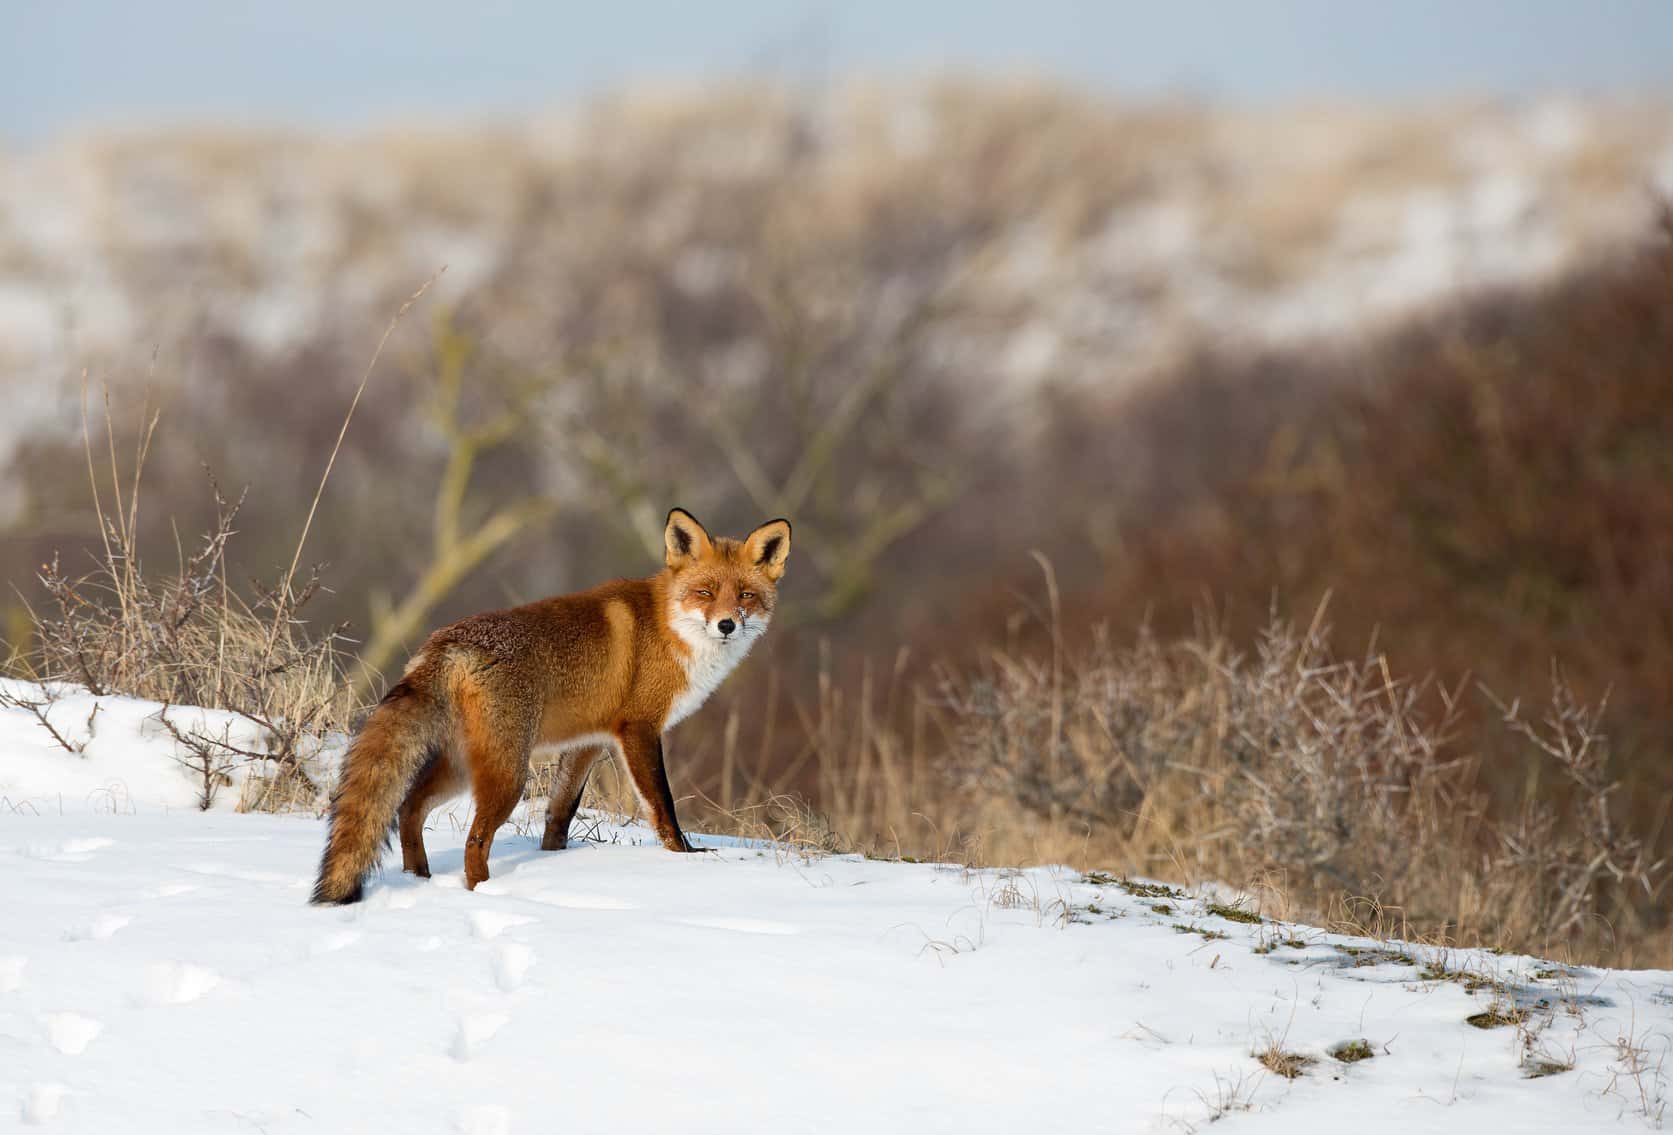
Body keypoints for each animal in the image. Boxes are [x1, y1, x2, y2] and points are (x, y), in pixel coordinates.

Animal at [314, 508, 789, 903]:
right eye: (705, 592)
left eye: (745, 596)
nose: (726, 625)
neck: (670, 629)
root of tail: (444, 644)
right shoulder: (639, 729)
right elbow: (663, 806)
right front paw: (685, 857)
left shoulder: (588, 742)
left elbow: (560, 813)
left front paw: (554, 859)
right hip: (508, 773)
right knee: (473, 841)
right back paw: (485, 893)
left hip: (462, 766)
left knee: (409, 807)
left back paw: (420, 877)